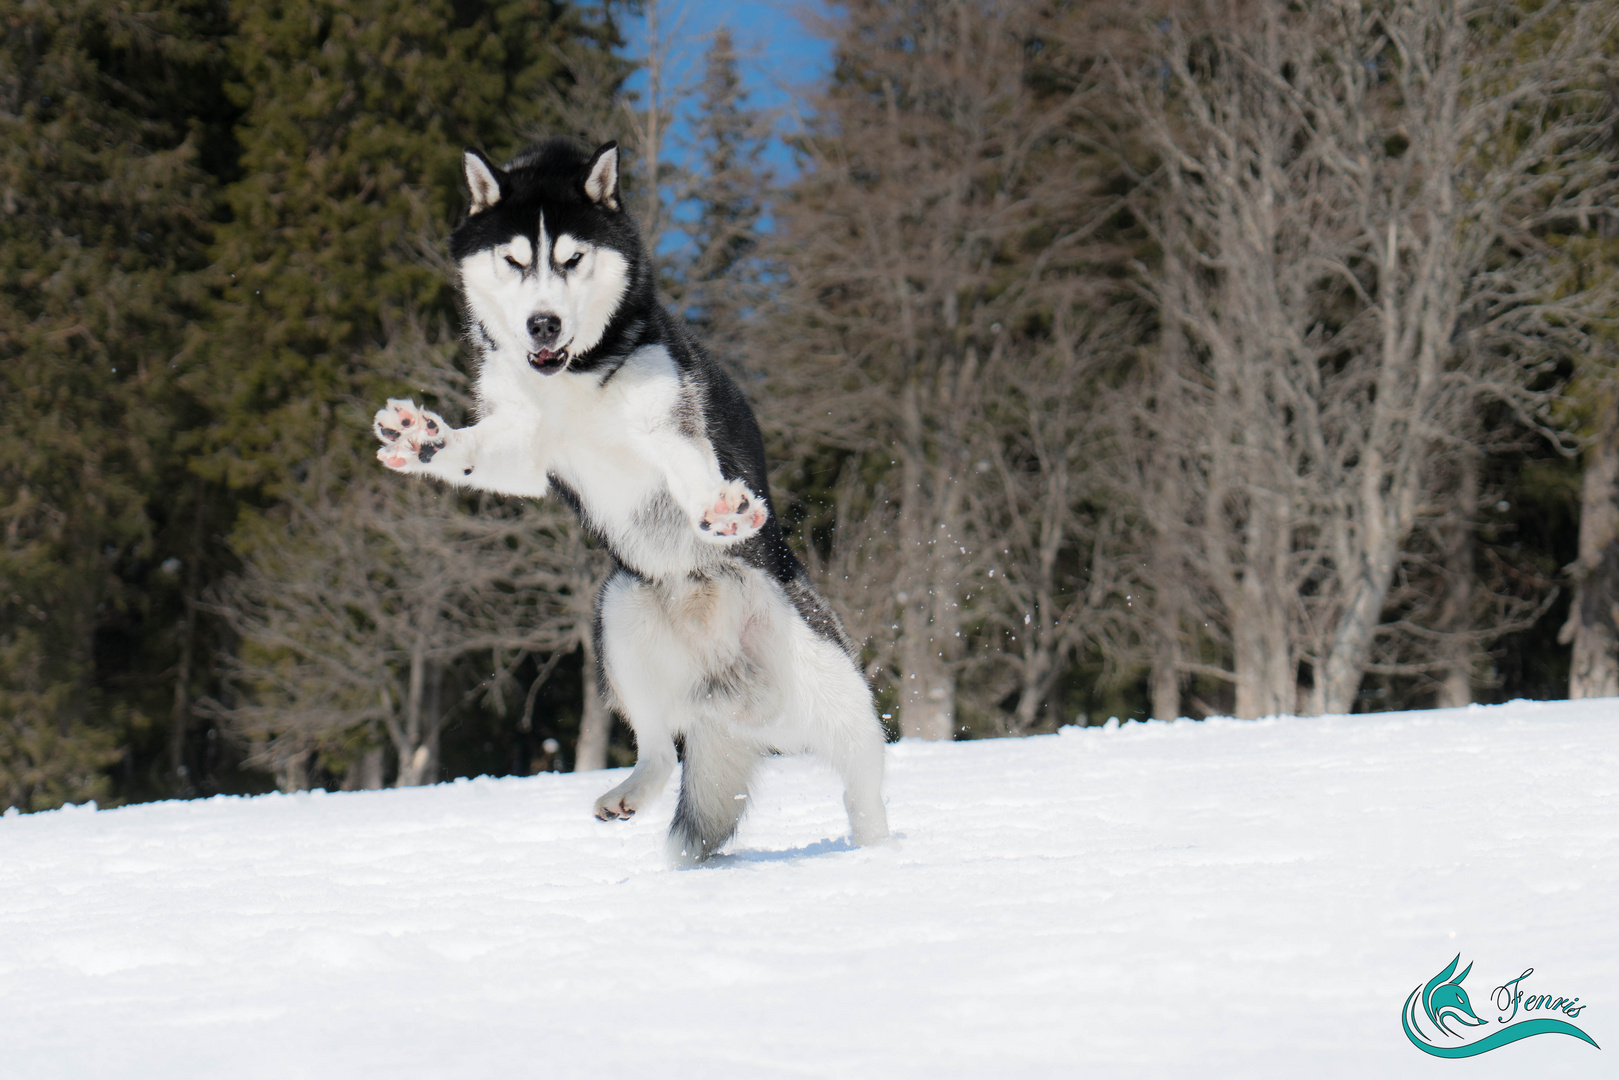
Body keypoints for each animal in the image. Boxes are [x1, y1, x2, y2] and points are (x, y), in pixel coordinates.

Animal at [372, 141, 893, 867]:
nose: (542, 323)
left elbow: (691, 466)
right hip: (619, 617)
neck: (572, 376)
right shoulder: (526, 449)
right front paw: (423, 438)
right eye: (514, 260)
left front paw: (722, 508)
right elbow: (474, 450)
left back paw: (877, 860)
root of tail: (730, 689)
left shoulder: (666, 421)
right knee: (659, 750)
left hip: (837, 691)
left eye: (571, 259)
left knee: (863, 789)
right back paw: (629, 791)